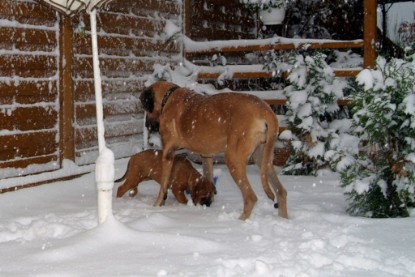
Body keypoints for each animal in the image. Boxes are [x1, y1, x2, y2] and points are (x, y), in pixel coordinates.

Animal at [140, 81, 290, 219]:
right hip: (262, 157)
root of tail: (264, 108)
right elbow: (208, 179)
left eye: (146, 107)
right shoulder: (206, 156)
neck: (168, 97)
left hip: (233, 158)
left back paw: (240, 221)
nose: (147, 125)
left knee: (250, 197)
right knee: (281, 191)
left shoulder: (168, 153)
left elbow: (163, 184)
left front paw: (157, 204)